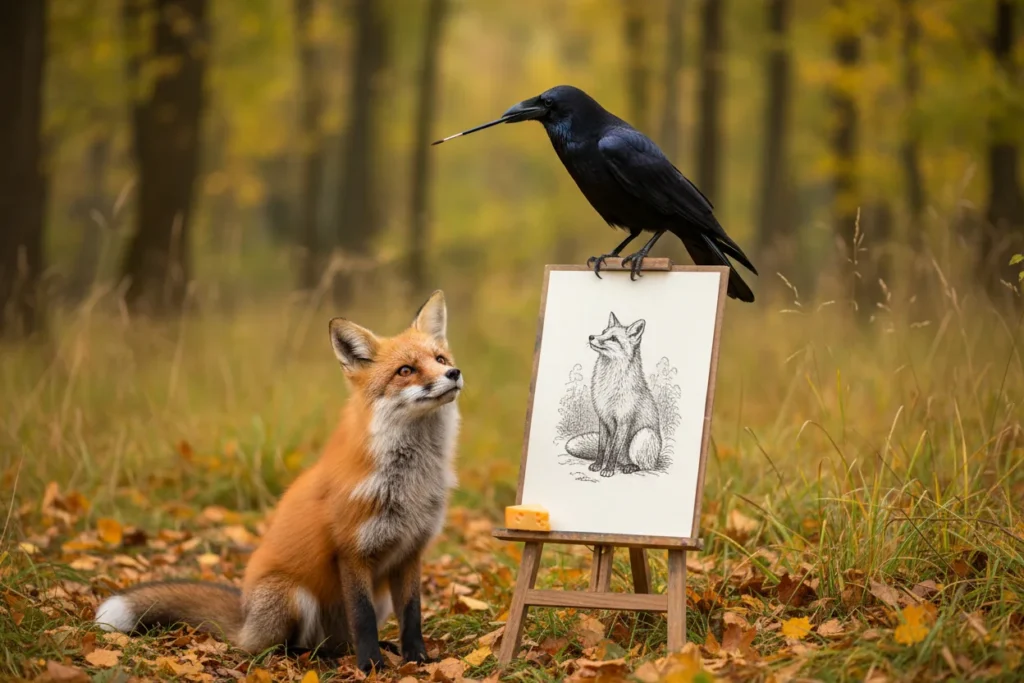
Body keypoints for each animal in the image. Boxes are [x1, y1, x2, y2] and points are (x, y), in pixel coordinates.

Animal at [94, 291, 463, 673]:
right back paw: (314, 657)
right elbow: (362, 620)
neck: (410, 483)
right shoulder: (352, 553)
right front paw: (371, 665)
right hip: (292, 597)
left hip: (375, 600)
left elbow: (412, 615)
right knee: (274, 648)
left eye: (440, 359)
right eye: (406, 370)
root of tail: (244, 616)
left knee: (336, 642)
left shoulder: (410, 552)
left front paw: (417, 658)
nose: (453, 373)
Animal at [565, 312, 661, 477]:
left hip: (644, 435)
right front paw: (598, 465)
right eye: (603, 332)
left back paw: (630, 467)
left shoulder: (623, 421)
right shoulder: (603, 418)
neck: (609, 385)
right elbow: (602, 448)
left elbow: (614, 451)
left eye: (613, 339)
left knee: (643, 465)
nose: (591, 336)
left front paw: (608, 469)